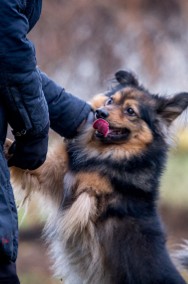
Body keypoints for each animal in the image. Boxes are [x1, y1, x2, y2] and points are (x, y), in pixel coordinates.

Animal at [3, 69, 188, 284]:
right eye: (110, 101)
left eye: (130, 111)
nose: (100, 113)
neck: (107, 152)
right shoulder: (56, 174)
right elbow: (45, 164)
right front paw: (9, 147)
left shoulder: (91, 193)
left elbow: (86, 191)